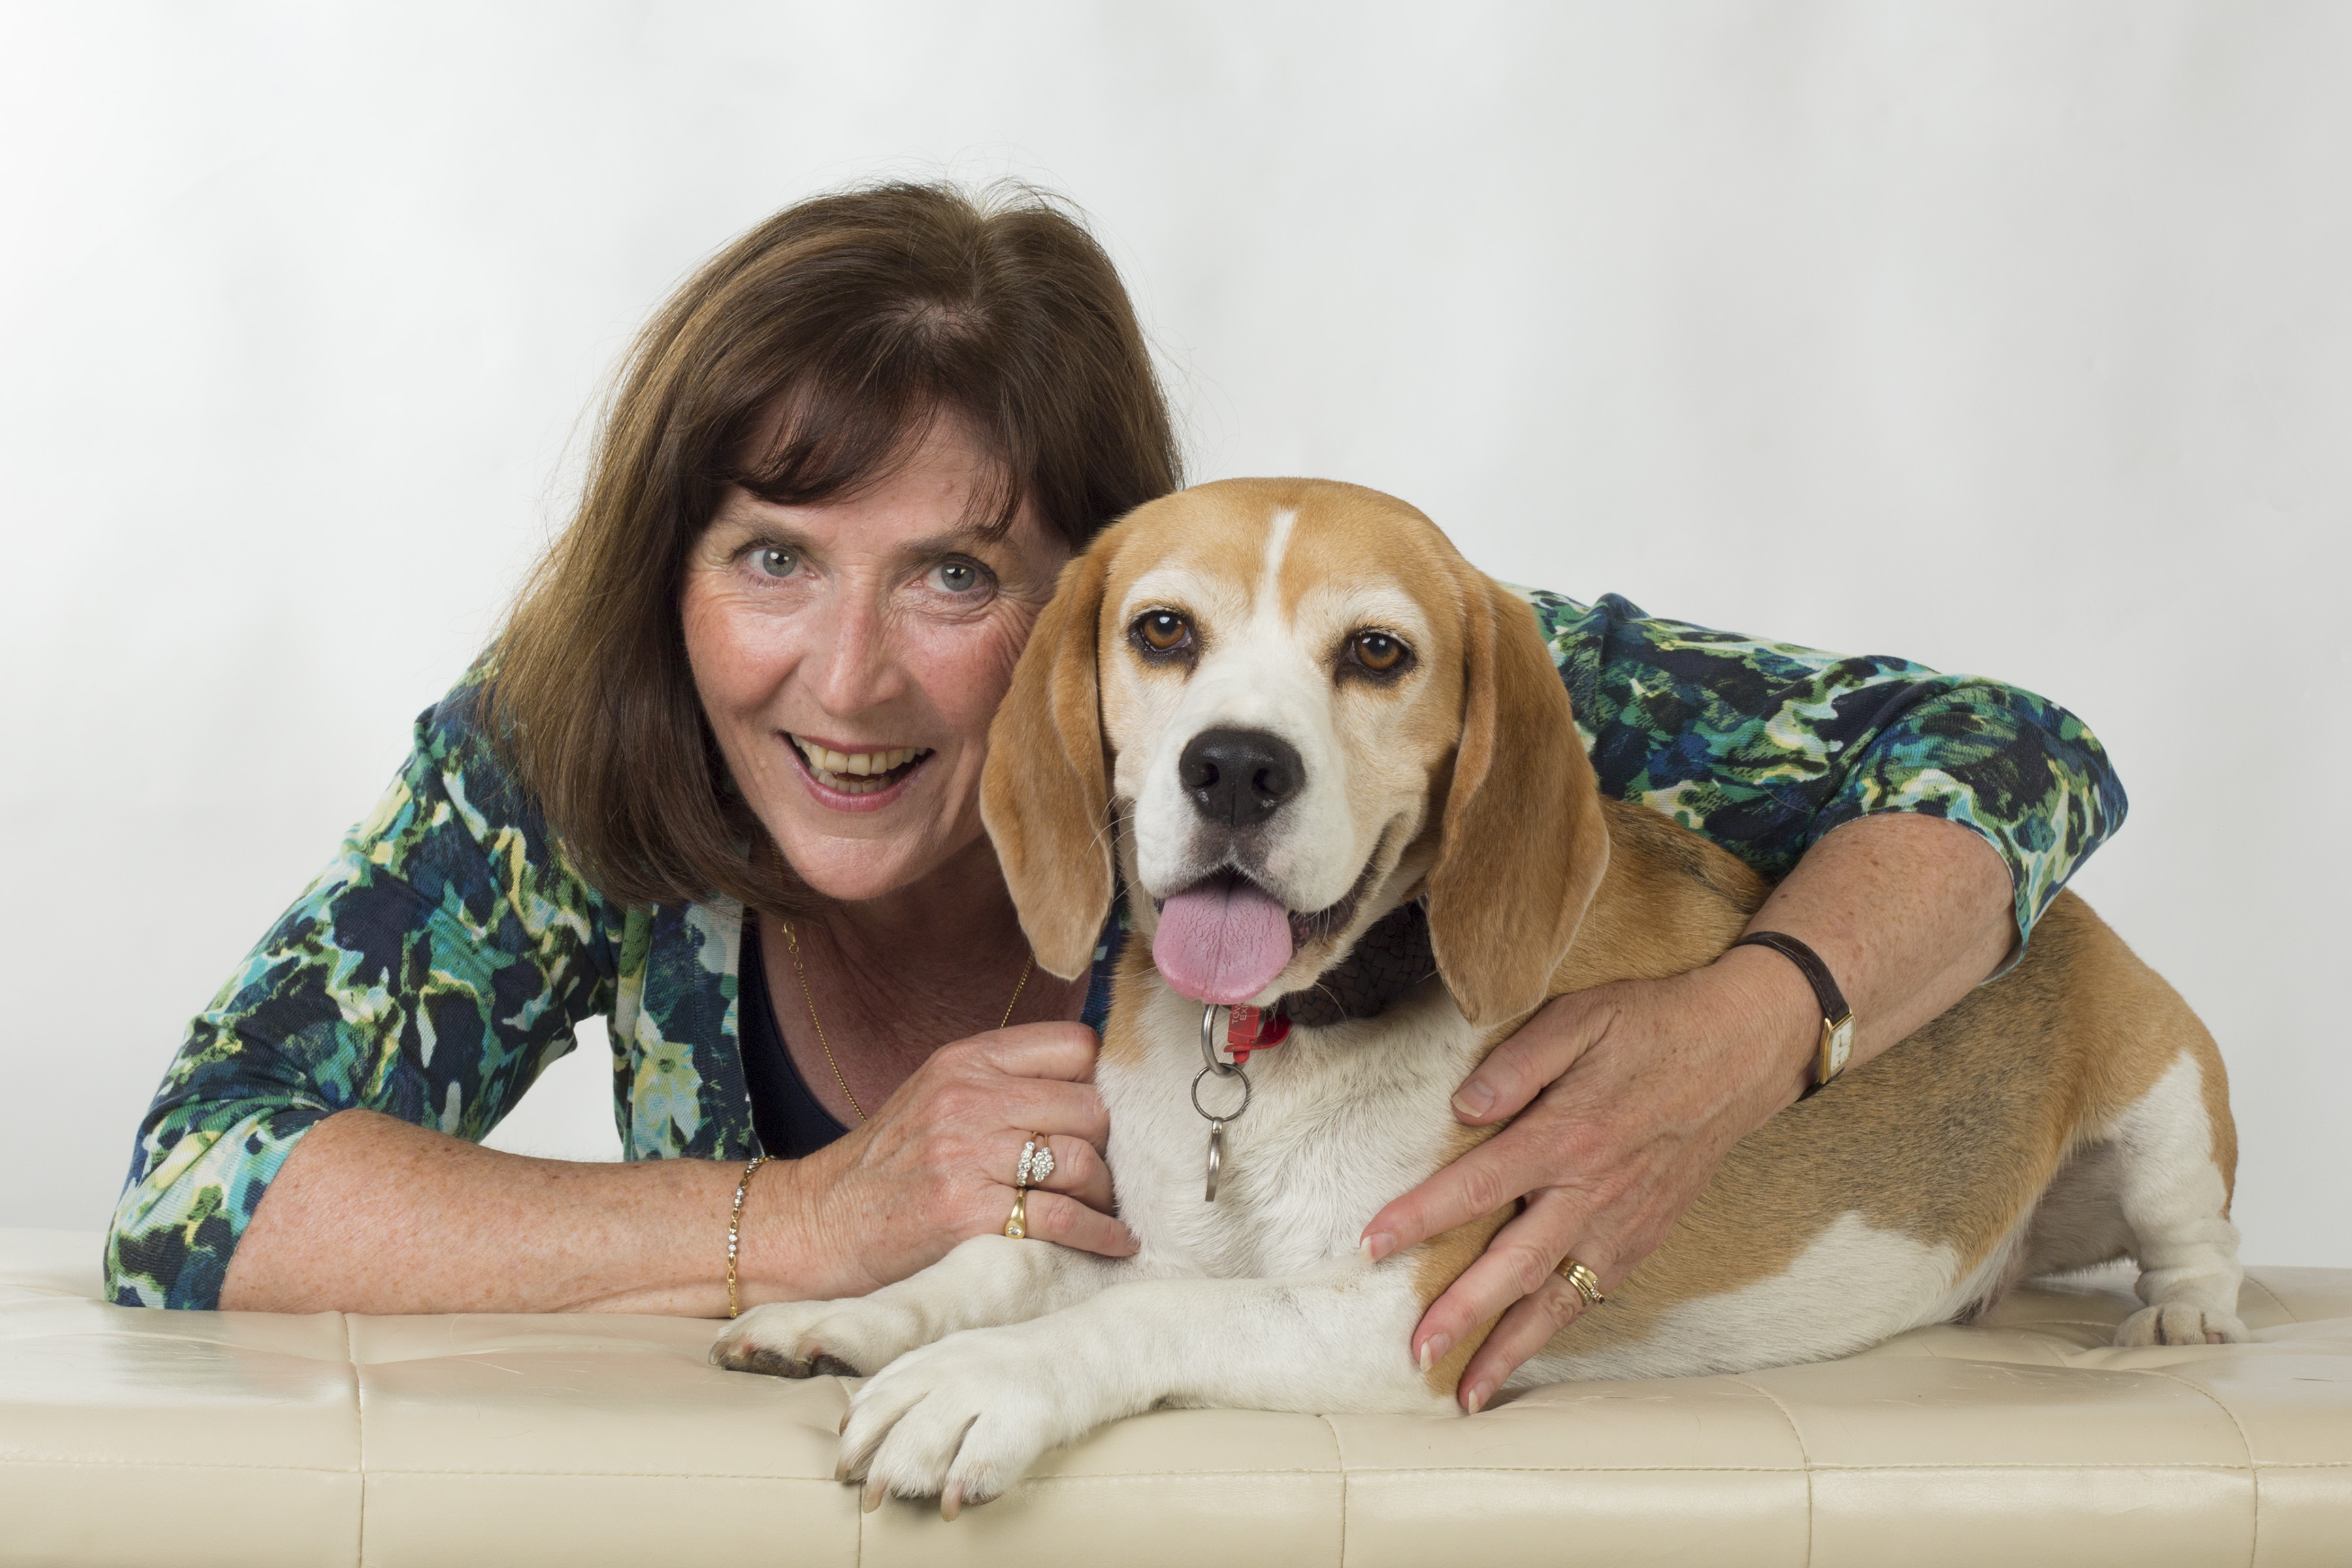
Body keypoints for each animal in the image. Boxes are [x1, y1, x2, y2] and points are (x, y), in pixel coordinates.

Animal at [713, 477, 2243, 1517]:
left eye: (1378, 653)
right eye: (1162, 631)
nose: (1236, 767)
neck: (1273, 1046)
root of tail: (2076, 918)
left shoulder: (1396, 1322)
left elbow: (1133, 1319)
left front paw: (978, 1387)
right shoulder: (1143, 1230)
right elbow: (997, 1266)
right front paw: (848, 1318)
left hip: (2164, 1107)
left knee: (2198, 1241)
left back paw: (2180, 1322)